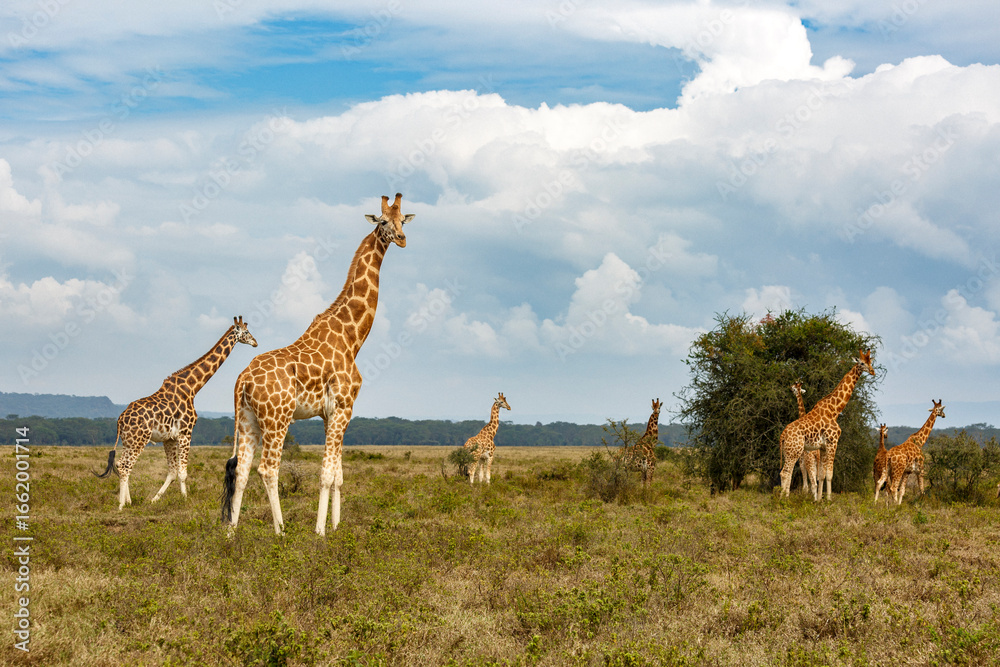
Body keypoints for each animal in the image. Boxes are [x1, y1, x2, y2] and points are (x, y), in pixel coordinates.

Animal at [95, 317, 257, 510]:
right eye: (246, 332)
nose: (255, 342)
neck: (192, 388)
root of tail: (120, 420)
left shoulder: (169, 438)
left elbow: (172, 471)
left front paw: (154, 500)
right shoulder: (186, 432)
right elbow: (182, 472)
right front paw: (186, 500)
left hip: (129, 441)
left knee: (121, 464)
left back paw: (129, 501)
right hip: (138, 440)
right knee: (125, 466)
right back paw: (121, 505)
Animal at [221, 194, 414, 536]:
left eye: (403, 219)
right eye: (382, 221)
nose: (402, 239)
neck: (353, 337)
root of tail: (242, 380)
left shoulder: (330, 413)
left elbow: (337, 473)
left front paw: (336, 526)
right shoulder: (344, 406)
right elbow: (326, 474)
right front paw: (321, 531)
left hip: (247, 419)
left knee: (240, 470)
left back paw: (231, 533)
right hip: (278, 418)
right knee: (267, 469)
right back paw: (280, 530)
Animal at [778, 349, 876, 500]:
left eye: (870, 362)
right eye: (861, 363)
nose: (872, 371)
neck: (835, 410)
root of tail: (782, 435)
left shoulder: (823, 447)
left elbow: (821, 475)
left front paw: (819, 500)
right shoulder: (832, 442)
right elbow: (829, 474)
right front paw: (829, 499)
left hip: (789, 452)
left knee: (786, 473)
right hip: (795, 451)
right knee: (785, 473)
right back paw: (783, 500)